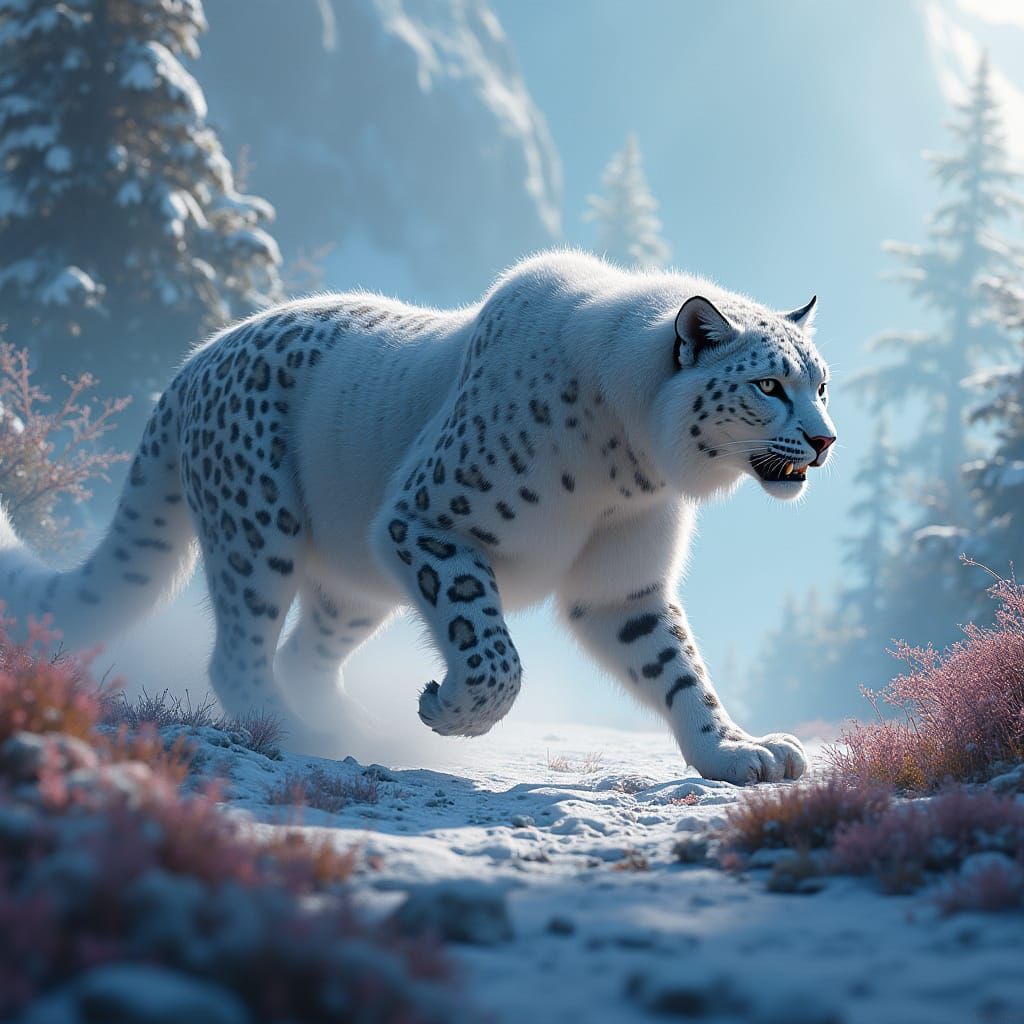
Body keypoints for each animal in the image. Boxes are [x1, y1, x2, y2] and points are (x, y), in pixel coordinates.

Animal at [0, 250, 836, 784]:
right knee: (239, 653)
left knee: (305, 652)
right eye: (768, 384)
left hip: (351, 583)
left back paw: (358, 731)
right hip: (257, 531)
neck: (628, 470)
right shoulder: (428, 520)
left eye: (821, 382)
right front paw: (453, 710)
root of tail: (190, 365)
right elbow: (494, 651)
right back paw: (298, 733)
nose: (826, 440)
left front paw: (738, 753)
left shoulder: (623, 587)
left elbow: (679, 671)